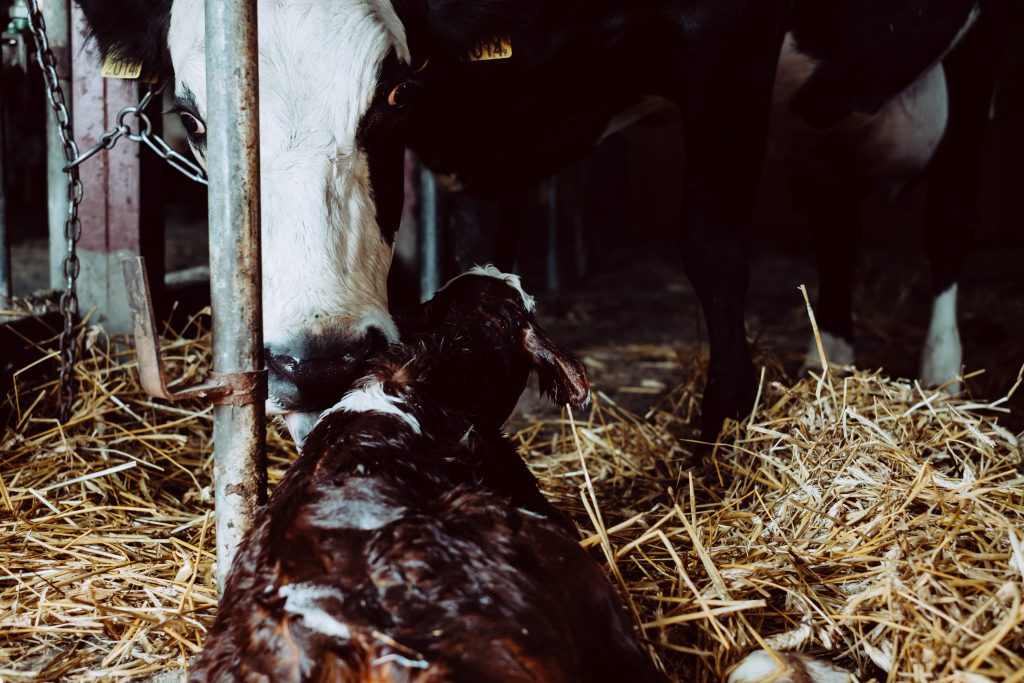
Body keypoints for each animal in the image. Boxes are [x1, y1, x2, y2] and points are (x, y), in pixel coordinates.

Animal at [75, 0, 1011, 446]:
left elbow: (712, 246)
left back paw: (944, 375)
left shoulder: (730, 37)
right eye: (194, 119)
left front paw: (717, 437)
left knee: (953, 218)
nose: (320, 360)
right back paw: (836, 359)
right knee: (836, 215)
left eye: (396, 96)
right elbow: (478, 266)